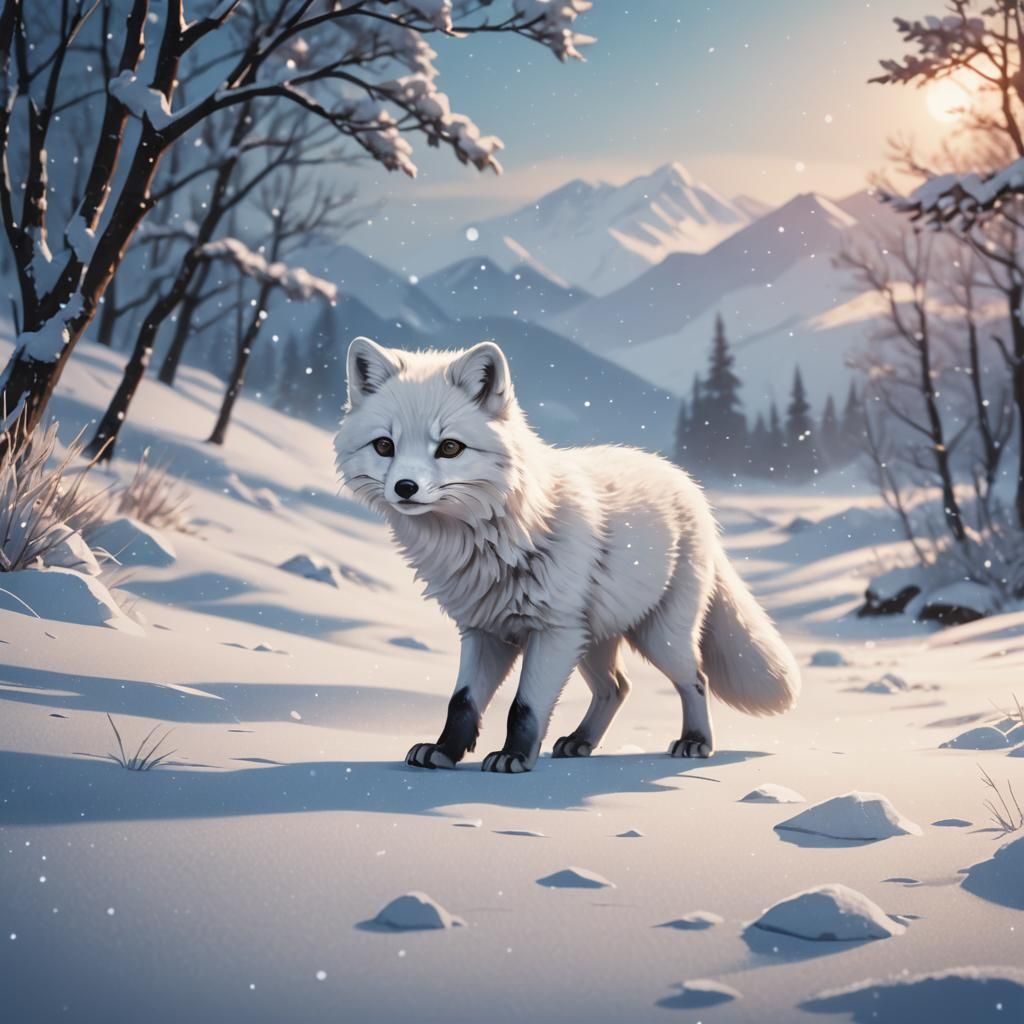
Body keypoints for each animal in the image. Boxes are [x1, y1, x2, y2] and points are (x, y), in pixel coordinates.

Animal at [334, 336, 800, 773]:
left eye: (449, 448)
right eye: (384, 446)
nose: (405, 488)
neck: (490, 541)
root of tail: (684, 480)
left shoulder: (553, 631)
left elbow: (523, 707)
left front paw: (512, 758)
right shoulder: (484, 630)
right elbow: (462, 702)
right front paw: (444, 751)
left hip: (657, 637)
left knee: (695, 679)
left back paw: (695, 741)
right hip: (591, 640)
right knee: (618, 686)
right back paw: (580, 742)